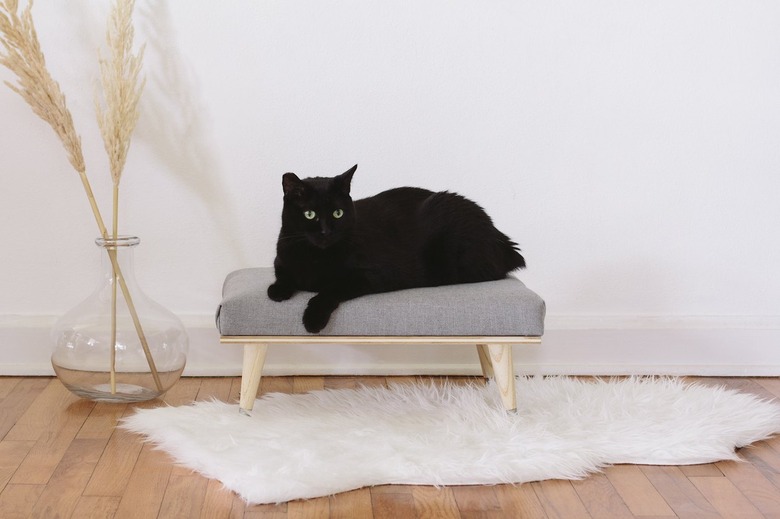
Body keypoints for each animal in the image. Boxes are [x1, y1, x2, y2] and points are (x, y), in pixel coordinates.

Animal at [266, 165, 528, 334]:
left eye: (337, 213)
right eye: (309, 214)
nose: (325, 232)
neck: (315, 258)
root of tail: (500, 236)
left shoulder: (369, 275)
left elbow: (331, 289)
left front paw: (313, 318)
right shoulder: (282, 257)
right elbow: (283, 275)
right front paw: (278, 290)